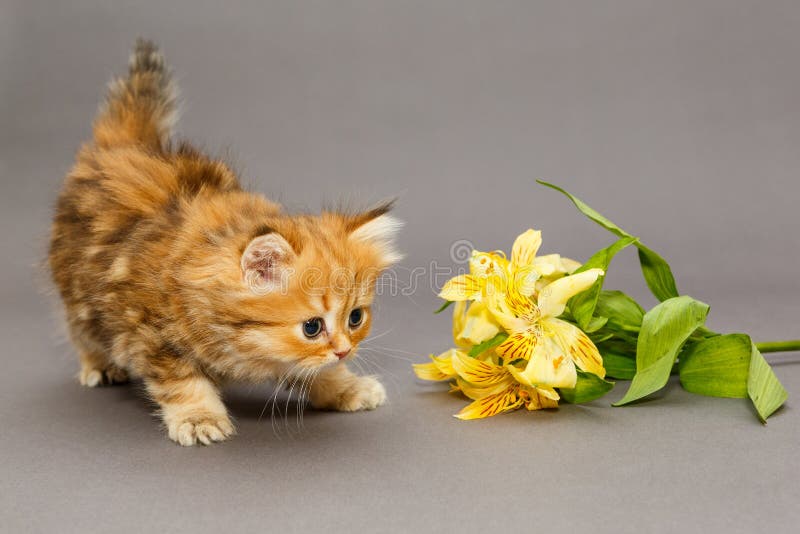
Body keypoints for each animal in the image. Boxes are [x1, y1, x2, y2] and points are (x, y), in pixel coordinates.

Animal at [47, 39, 404, 446]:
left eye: (356, 317)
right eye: (312, 327)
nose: (345, 351)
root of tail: (121, 145)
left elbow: (315, 370)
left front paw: (347, 386)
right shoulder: (151, 334)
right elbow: (183, 382)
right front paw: (198, 417)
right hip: (79, 293)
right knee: (81, 331)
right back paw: (100, 365)